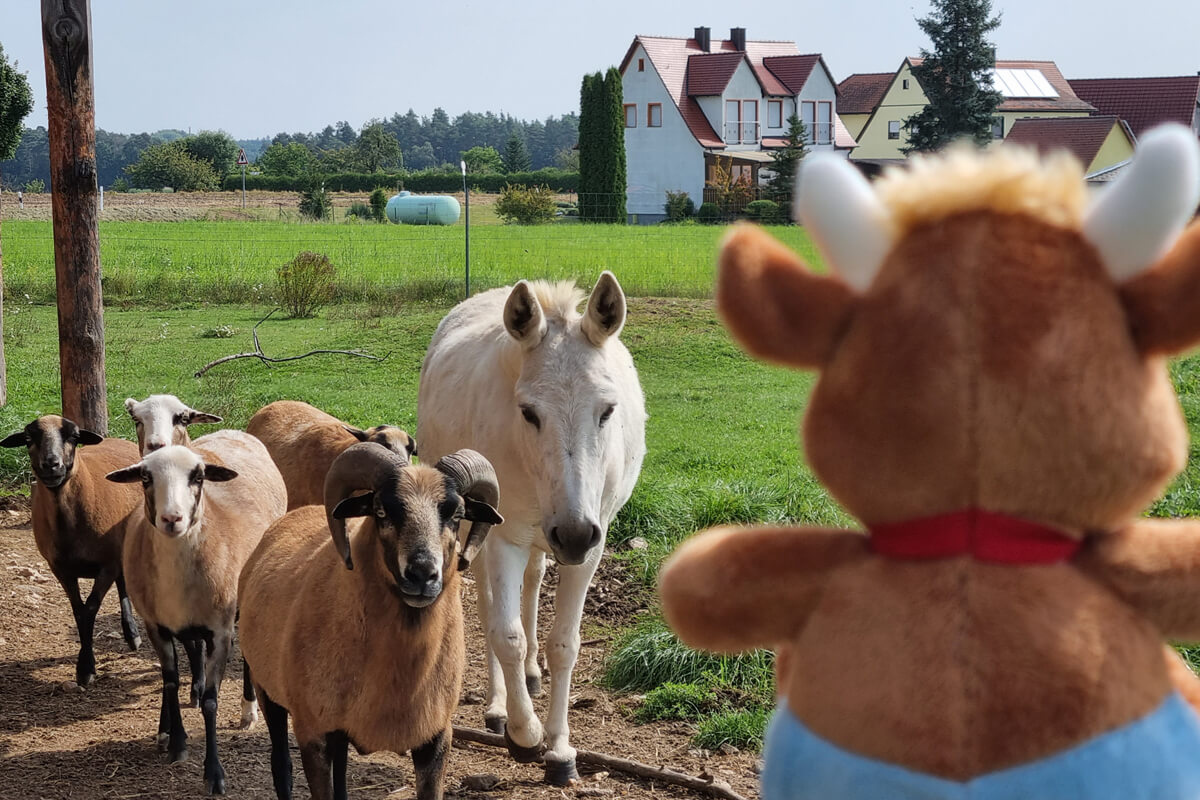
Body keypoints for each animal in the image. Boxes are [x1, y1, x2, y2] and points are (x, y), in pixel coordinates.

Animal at [0, 416, 143, 686]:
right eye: (28, 439)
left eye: (74, 437)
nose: (51, 464)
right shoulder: (60, 568)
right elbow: (78, 611)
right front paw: (85, 666)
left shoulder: (106, 565)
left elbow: (90, 608)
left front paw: (86, 668)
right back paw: (130, 633)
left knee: (124, 583)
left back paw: (132, 634)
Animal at [107, 431, 286, 796]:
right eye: (145, 478)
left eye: (199, 477)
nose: (171, 519)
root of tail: (236, 432)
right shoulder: (156, 626)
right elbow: (171, 681)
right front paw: (176, 742)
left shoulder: (220, 631)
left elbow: (211, 702)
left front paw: (214, 773)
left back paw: (248, 710)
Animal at [238, 443, 502, 800]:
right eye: (381, 511)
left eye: (457, 514)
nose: (422, 574)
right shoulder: (313, 732)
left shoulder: (436, 738)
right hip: (268, 690)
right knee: (281, 767)